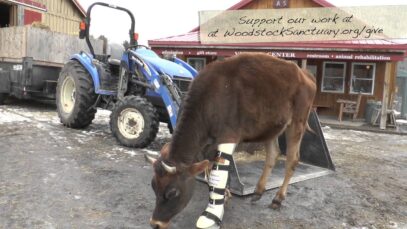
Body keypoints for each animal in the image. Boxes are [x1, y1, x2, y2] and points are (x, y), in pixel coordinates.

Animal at [147, 52, 318, 228]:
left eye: (172, 192)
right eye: (153, 186)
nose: (155, 223)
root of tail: (304, 73)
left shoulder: (228, 135)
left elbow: (217, 174)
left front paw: (213, 211)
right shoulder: (209, 145)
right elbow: (211, 172)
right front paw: (225, 196)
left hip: (298, 121)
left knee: (292, 159)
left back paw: (278, 198)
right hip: (271, 126)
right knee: (273, 154)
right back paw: (258, 191)